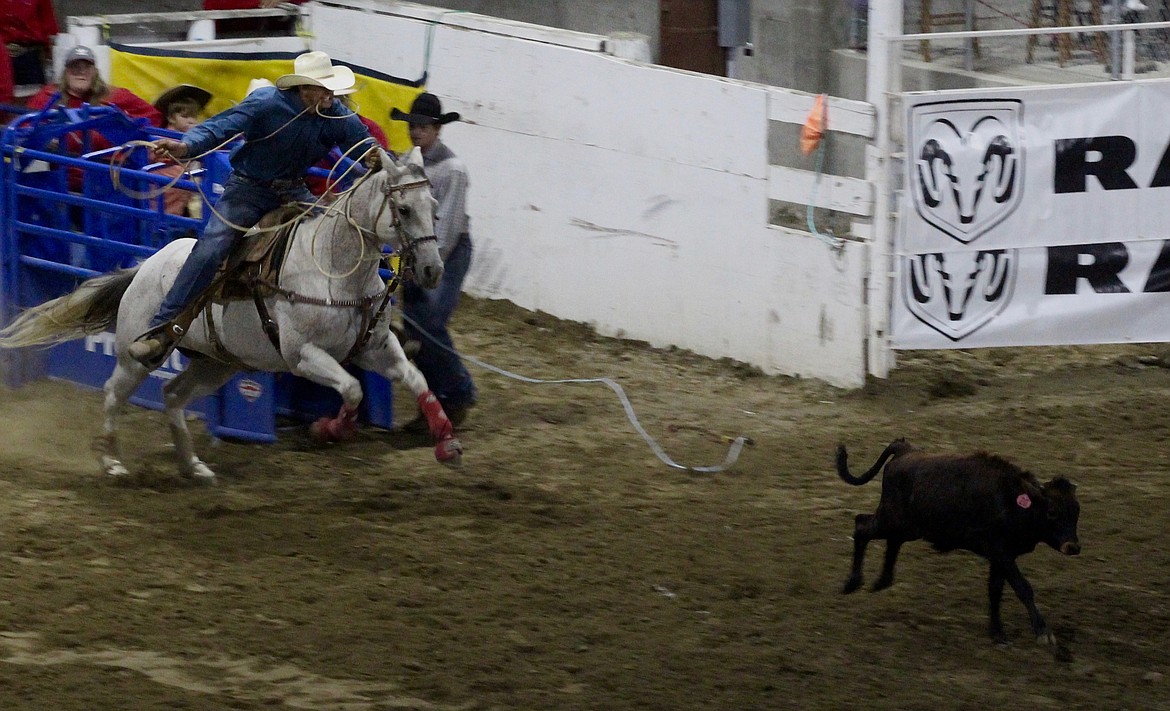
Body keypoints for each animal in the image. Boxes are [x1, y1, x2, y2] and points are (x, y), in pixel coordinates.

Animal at [0, 149, 465, 484]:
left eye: (434, 206)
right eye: (403, 209)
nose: (432, 270)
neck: (334, 270)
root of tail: (145, 266)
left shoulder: (376, 348)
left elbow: (418, 382)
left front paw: (447, 445)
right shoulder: (304, 356)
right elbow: (351, 390)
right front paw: (326, 431)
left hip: (217, 363)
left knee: (173, 396)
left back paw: (194, 465)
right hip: (136, 355)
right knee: (114, 393)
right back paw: (112, 462)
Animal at [842, 435, 1076, 645]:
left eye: (1076, 513)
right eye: (1052, 512)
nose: (1073, 546)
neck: (1012, 500)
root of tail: (905, 450)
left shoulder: (999, 558)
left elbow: (995, 590)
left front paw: (997, 633)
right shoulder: (1002, 553)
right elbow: (1023, 587)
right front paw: (1043, 632)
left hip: (906, 527)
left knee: (891, 541)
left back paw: (881, 581)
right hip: (890, 519)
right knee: (861, 527)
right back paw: (852, 582)